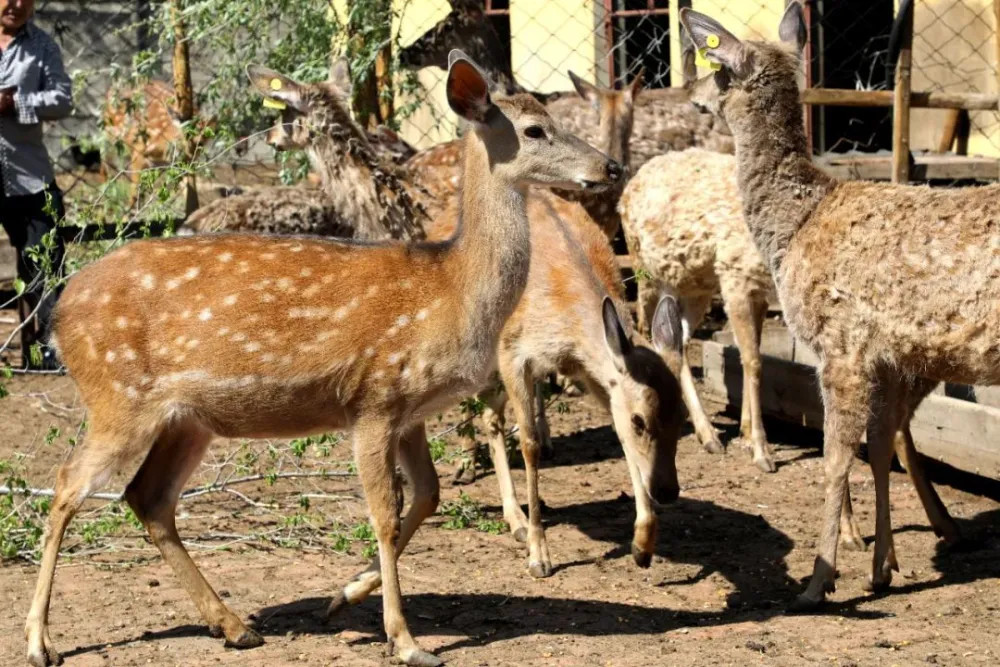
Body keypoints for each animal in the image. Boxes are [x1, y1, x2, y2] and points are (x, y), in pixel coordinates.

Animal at [101, 81, 215, 211]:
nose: (190, 155)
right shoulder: (139, 151)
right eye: (183, 137)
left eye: (201, 142)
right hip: (109, 137)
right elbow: (135, 193)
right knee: (105, 166)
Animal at [680, 2, 976, 612]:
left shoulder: (843, 344)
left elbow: (838, 456)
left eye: (715, 68)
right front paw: (883, 567)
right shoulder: (890, 357)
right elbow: (884, 444)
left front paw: (820, 581)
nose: (689, 94)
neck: (797, 225)